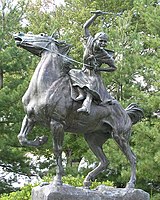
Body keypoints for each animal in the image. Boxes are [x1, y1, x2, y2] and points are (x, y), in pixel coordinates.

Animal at [14, 32, 144, 188]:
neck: (48, 85)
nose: (19, 35)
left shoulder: (57, 123)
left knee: (132, 158)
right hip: (93, 139)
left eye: (41, 35)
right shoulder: (30, 118)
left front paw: (57, 180)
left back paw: (130, 184)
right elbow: (22, 138)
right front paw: (40, 140)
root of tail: (126, 114)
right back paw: (87, 181)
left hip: (120, 137)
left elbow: (57, 149)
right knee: (105, 161)